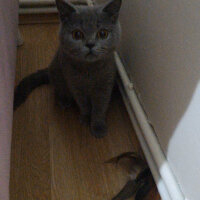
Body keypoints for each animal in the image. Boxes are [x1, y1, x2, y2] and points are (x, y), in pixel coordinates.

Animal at [14, 0, 122, 138]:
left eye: (103, 33)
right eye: (77, 34)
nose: (90, 44)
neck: (89, 71)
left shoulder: (105, 85)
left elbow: (100, 107)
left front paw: (98, 126)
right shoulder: (74, 84)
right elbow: (83, 104)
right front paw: (86, 118)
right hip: (57, 73)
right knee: (58, 89)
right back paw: (64, 101)